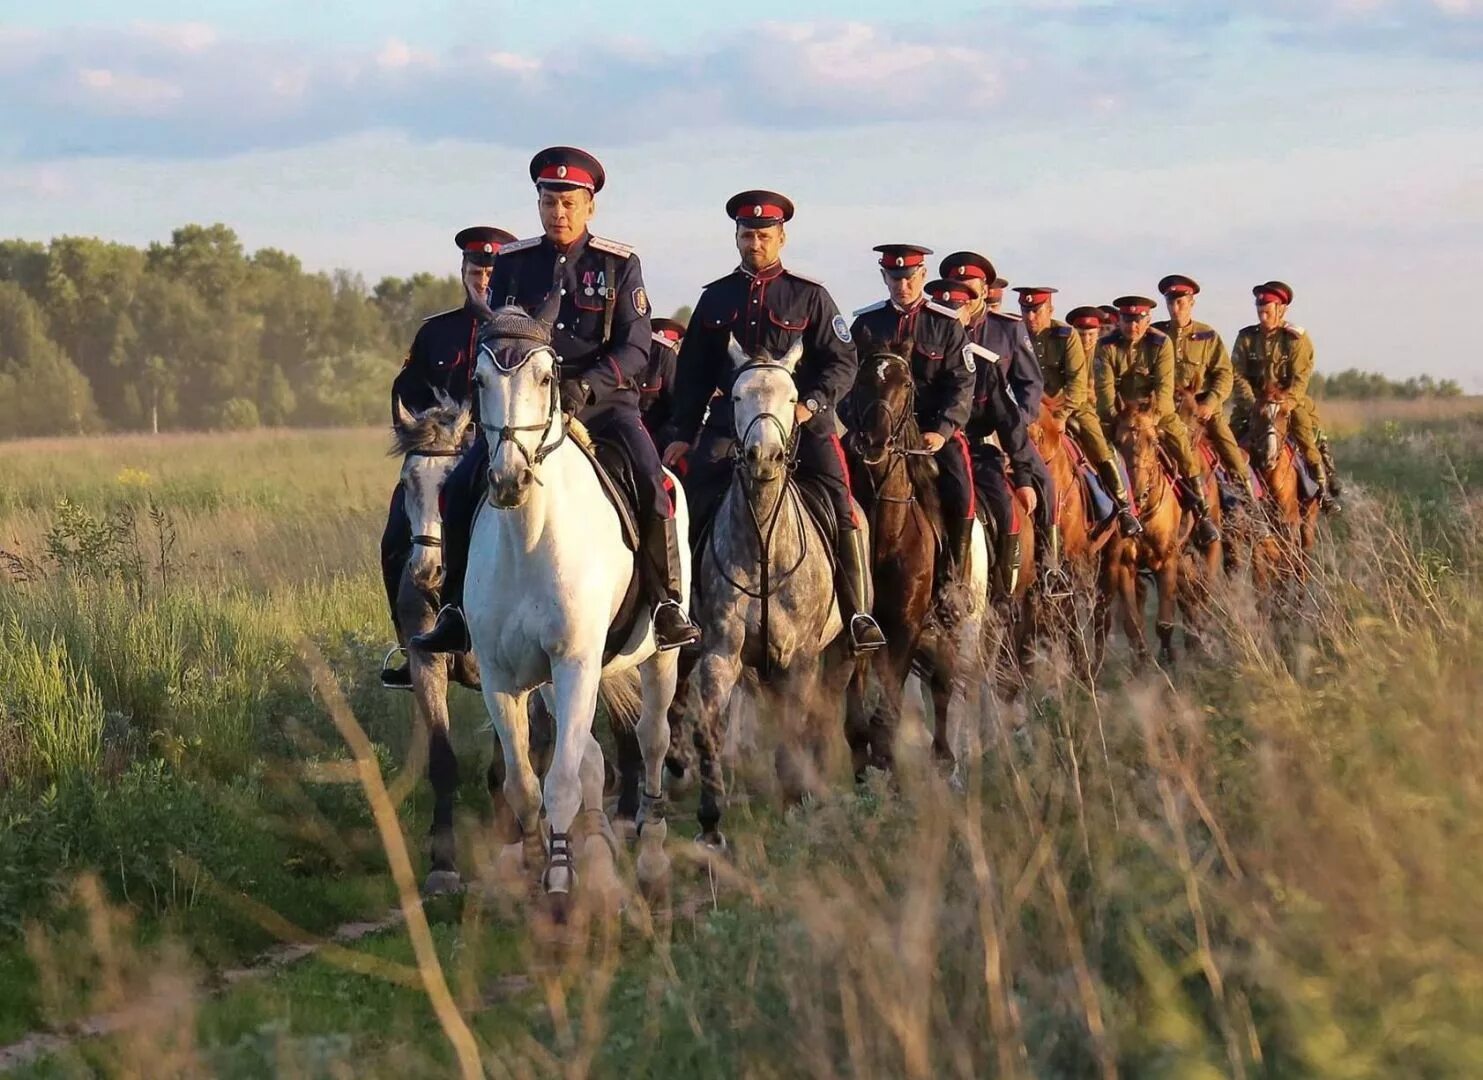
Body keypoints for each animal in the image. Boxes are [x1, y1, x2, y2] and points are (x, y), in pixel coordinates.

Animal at [462, 304, 682, 913]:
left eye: (545, 378)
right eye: (479, 380)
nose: (508, 479)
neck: (529, 535)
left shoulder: (576, 662)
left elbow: (560, 780)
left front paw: (561, 879)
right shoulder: (503, 678)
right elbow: (523, 783)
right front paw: (539, 858)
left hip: (661, 658)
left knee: (653, 739)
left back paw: (652, 861)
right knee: (589, 755)